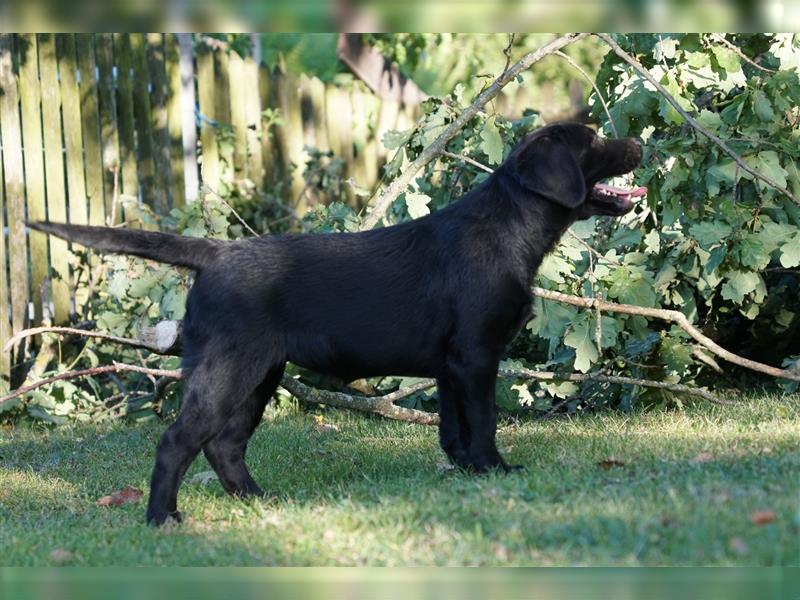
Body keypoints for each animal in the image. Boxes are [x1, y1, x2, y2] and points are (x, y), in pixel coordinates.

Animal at [31, 119, 648, 524]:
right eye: (594, 142)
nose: (639, 142)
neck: (510, 227)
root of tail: (214, 253)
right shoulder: (476, 357)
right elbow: (485, 423)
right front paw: (497, 470)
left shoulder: (451, 365)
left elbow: (453, 431)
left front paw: (468, 473)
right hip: (229, 368)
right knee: (178, 440)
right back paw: (163, 518)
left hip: (259, 375)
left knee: (224, 445)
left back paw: (259, 501)